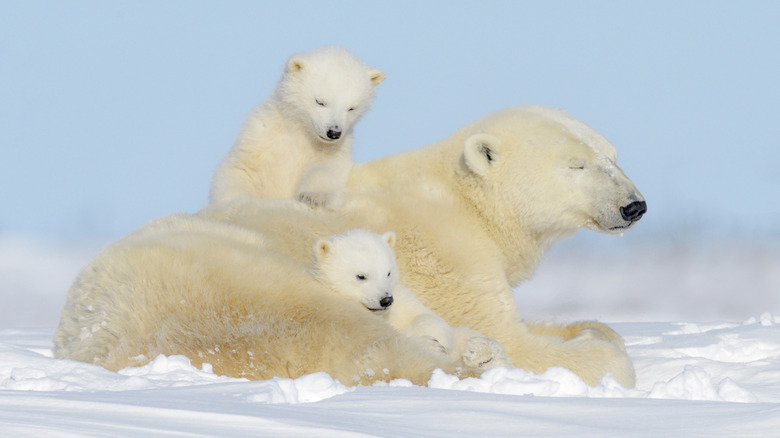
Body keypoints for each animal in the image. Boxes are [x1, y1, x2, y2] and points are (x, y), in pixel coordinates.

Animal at [209, 46, 385, 209]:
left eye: (352, 108)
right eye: (320, 101)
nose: (334, 132)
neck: (302, 130)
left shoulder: (335, 148)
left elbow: (327, 168)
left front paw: (315, 197)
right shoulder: (262, 136)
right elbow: (241, 169)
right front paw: (236, 202)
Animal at [312, 229, 511, 370]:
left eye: (388, 272)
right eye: (361, 276)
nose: (386, 300)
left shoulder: (401, 300)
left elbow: (427, 317)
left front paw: (441, 342)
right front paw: (431, 345)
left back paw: (481, 352)